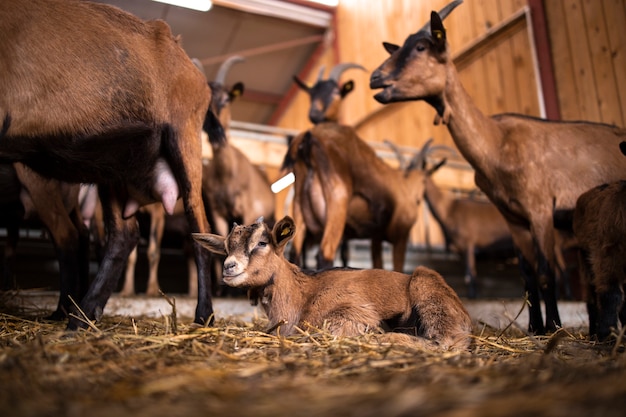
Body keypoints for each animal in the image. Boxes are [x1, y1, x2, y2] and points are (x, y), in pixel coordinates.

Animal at [0, 0, 222, 328]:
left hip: (185, 140)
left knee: (199, 230)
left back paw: (203, 316)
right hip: (114, 163)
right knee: (122, 235)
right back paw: (81, 316)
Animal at [193, 216, 470, 350]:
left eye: (262, 243)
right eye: (226, 247)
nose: (229, 267)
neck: (302, 293)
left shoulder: (351, 313)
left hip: (426, 290)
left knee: (443, 340)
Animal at [368, 0, 624, 332]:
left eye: (422, 46)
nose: (375, 78)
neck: (497, 142)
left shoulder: (540, 209)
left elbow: (545, 273)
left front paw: (553, 326)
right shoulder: (513, 218)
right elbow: (527, 276)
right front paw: (534, 327)